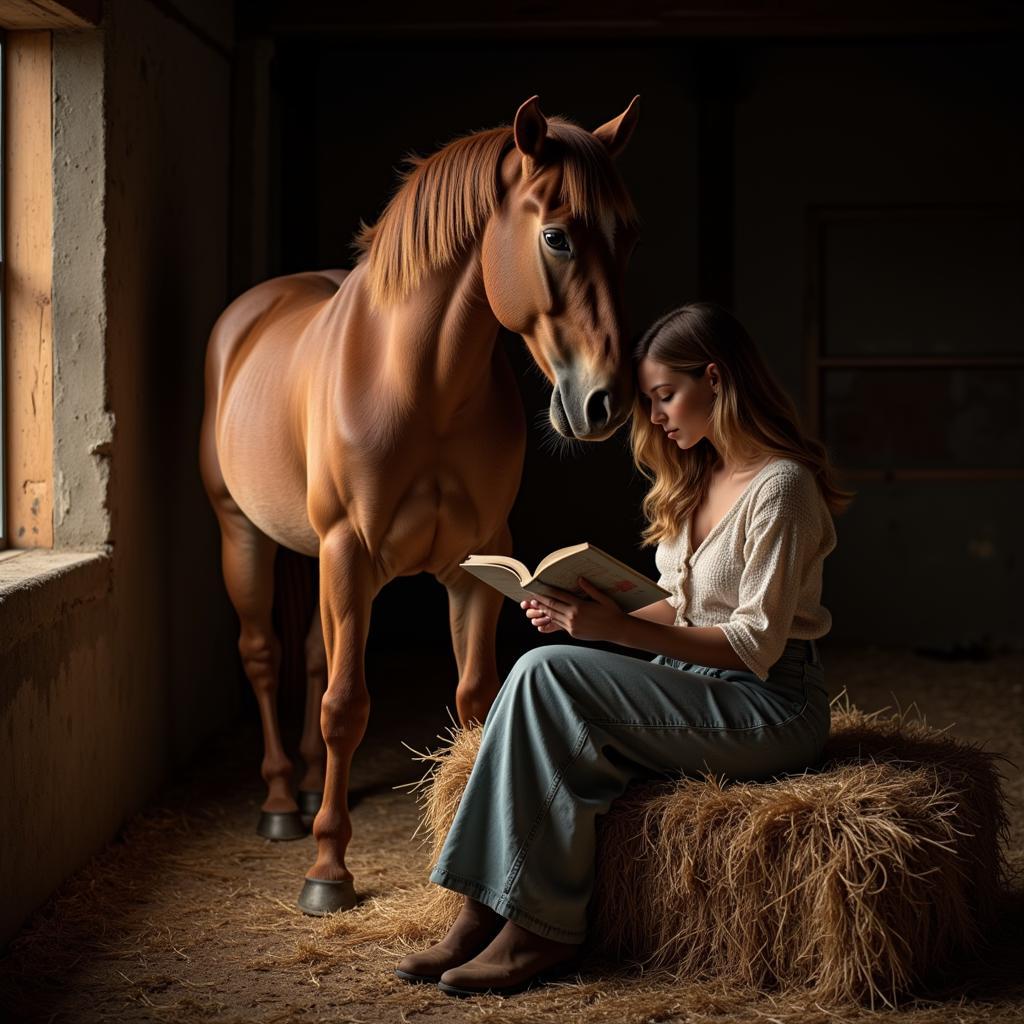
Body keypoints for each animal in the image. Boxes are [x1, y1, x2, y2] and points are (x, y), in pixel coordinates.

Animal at [195, 94, 634, 913]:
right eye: (556, 236)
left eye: (627, 234)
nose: (605, 403)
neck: (421, 381)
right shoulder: (348, 552)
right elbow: (345, 707)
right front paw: (328, 871)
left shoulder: (475, 565)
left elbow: (474, 699)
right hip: (245, 536)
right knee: (266, 658)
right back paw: (282, 803)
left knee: (312, 657)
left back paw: (310, 790)